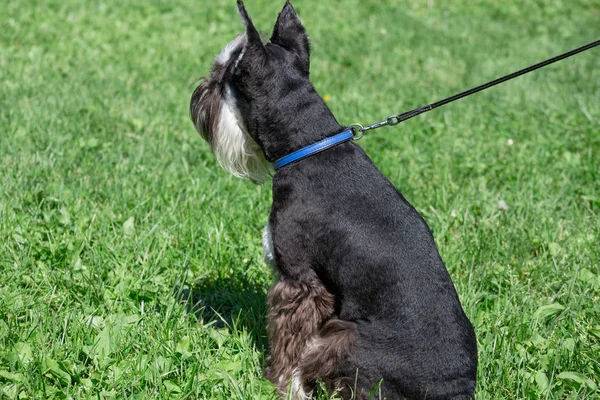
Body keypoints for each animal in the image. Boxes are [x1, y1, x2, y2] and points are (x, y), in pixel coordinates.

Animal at [190, 1, 476, 398]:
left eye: (221, 76)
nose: (199, 92)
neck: (308, 143)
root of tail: (456, 389)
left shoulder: (300, 281)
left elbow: (290, 341)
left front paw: (281, 384)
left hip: (342, 336)